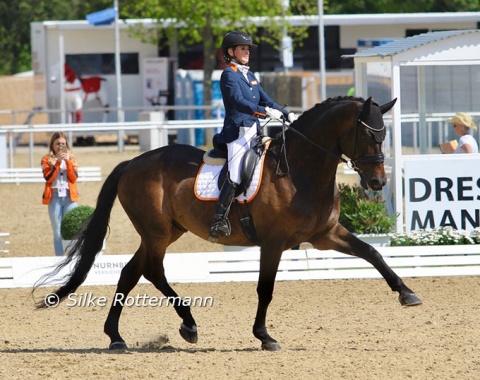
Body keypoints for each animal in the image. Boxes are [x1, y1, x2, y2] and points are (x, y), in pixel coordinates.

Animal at [32, 96, 420, 352]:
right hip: (157, 232)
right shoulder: (274, 242)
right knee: (151, 270)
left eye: (384, 135)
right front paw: (265, 336)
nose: (377, 183)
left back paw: (120, 336)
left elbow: (372, 253)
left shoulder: (326, 235)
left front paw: (406, 293)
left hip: (167, 231)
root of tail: (132, 162)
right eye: (369, 135)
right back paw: (182, 325)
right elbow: (266, 288)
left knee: (132, 271)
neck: (301, 170)